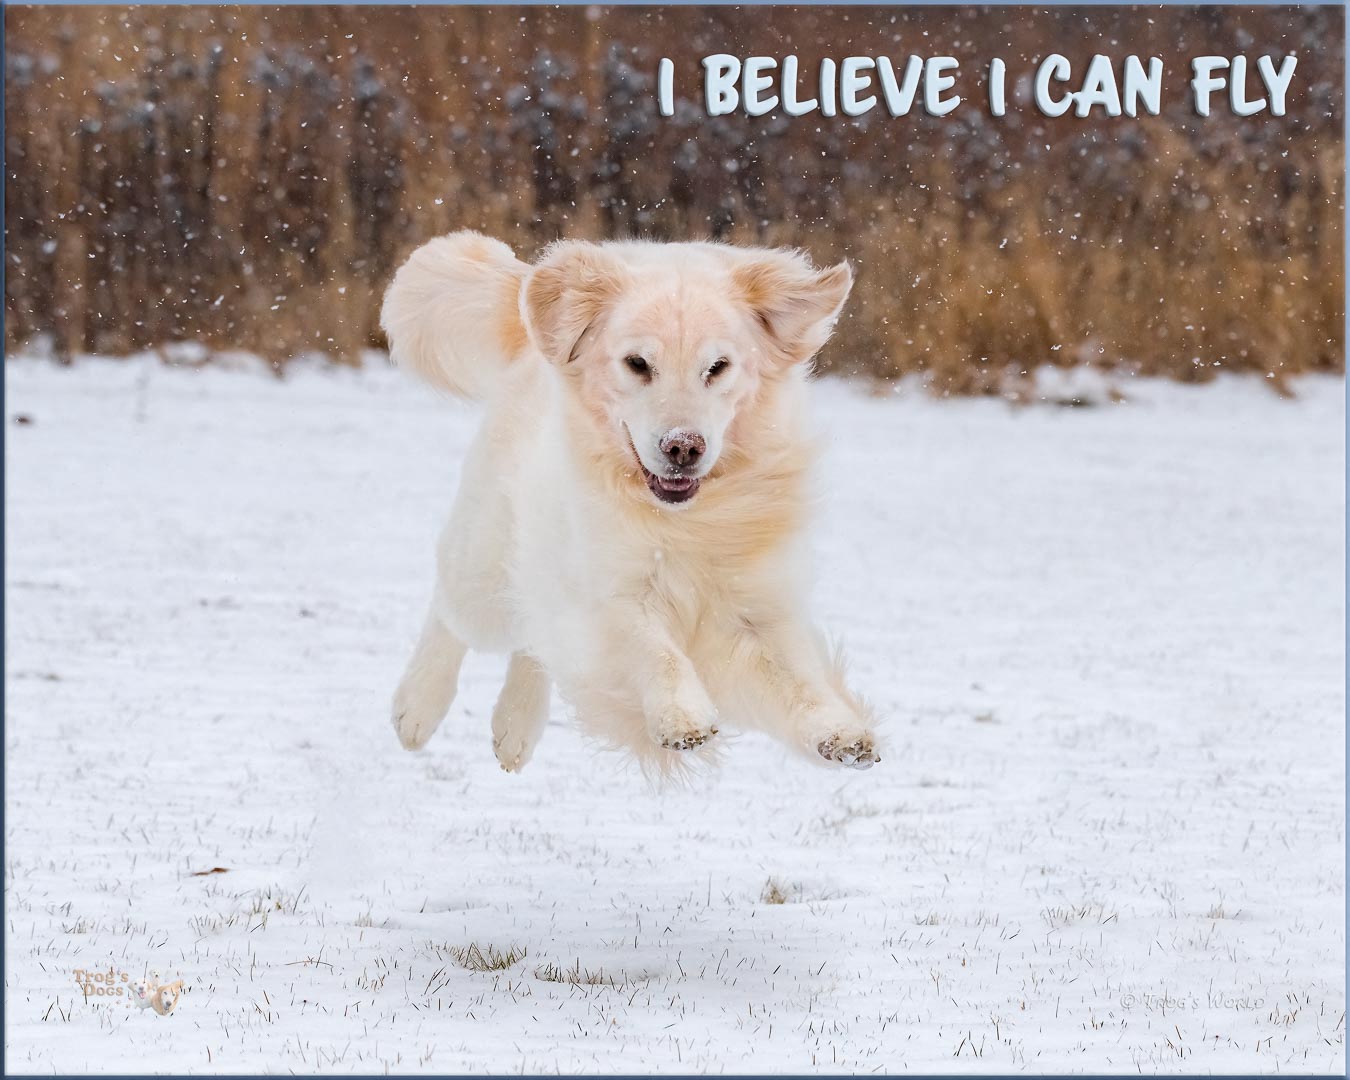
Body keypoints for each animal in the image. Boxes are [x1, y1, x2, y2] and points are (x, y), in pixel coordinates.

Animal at [386, 232, 880, 772]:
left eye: (718, 367)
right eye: (638, 364)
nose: (683, 447)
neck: (680, 521)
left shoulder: (756, 606)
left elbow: (798, 679)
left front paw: (840, 731)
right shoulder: (607, 598)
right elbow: (655, 651)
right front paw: (683, 719)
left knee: (533, 637)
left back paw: (514, 730)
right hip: (487, 565)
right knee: (453, 610)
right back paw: (416, 709)